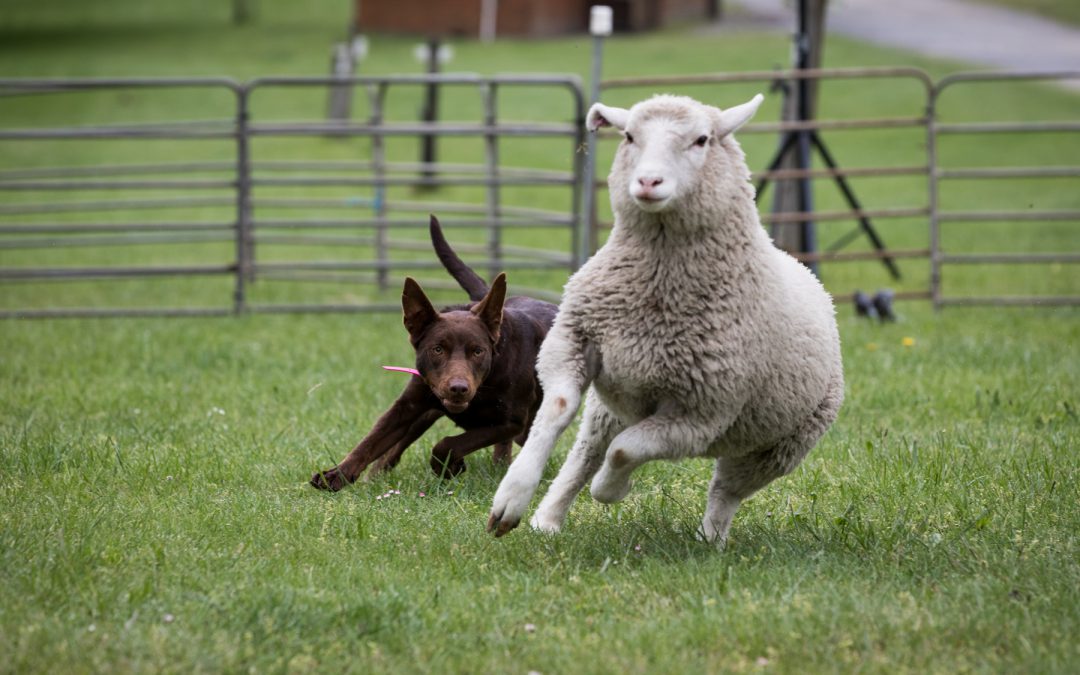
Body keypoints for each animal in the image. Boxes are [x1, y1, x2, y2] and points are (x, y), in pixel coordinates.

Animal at [306, 216, 552, 490]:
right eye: (437, 349)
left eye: (478, 351)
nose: (458, 388)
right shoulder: (408, 405)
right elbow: (371, 441)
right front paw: (335, 475)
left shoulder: (511, 422)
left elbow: (449, 444)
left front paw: (449, 466)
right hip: (427, 409)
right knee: (393, 450)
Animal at [486, 92, 846, 542]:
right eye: (628, 135)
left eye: (702, 140)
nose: (648, 182)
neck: (658, 289)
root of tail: (805, 270)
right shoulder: (572, 341)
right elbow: (560, 408)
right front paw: (511, 499)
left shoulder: (701, 416)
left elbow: (626, 450)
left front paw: (609, 490)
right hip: (610, 407)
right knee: (585, 454)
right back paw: (547, 519)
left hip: (779, 445)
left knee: (725, 489)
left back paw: (710, 538)